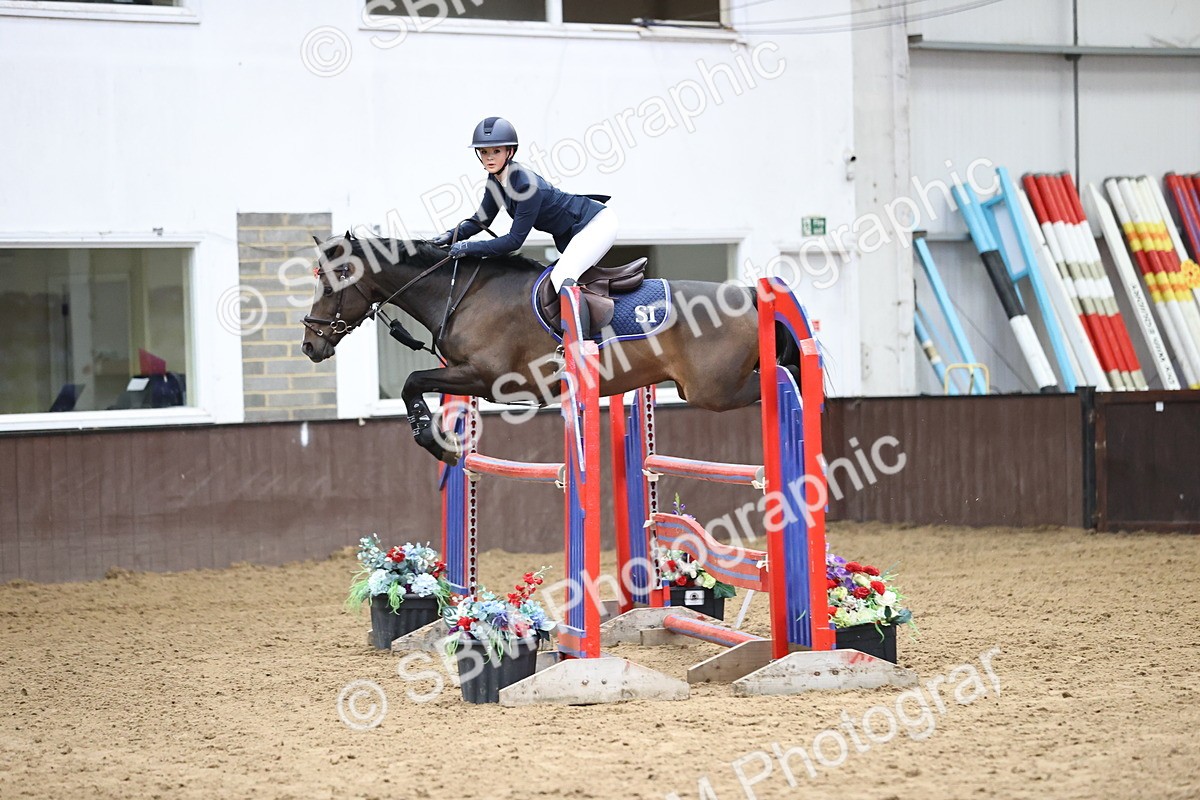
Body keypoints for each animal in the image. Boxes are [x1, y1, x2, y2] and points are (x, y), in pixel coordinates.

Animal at [300, 233, 783, 465]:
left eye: (333, 280)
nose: (309, 343)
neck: (462, 294)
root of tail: (746, 296)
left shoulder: (487, 378)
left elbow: (411, 381)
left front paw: (438, 444)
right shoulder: (463, 373)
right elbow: (416, 386)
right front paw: (441, 439)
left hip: (713, 390)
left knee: (775, 381)